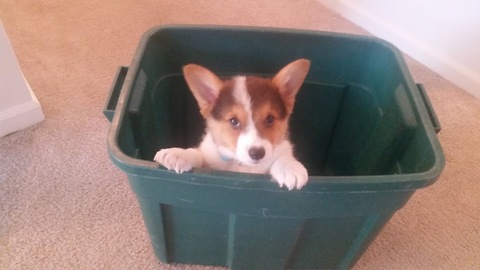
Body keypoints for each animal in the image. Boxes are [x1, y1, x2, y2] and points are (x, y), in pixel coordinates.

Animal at [155, 59, 312, 190]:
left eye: (270, 119)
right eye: (233, 121)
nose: (257, 153)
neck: (241, 165)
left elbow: (282, 156)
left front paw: (289, 167)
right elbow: (198, 154)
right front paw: (178, 154)